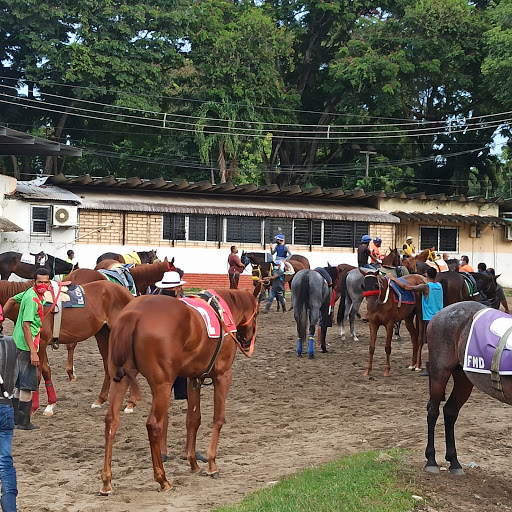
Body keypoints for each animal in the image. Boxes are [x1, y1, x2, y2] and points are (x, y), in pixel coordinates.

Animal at [3, 280, 135, 416]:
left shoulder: (42, 343)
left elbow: (37, 375)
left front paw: (31, 410)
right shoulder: (39, 346)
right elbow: (46, 371)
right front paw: (50, 406)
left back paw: (130, 404)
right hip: (103, 334)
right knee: (108, 366)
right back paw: (100, 400)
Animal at [99, 286, 260, 494]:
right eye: (257, 313)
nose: (247, 341)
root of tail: (133, 314)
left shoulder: (193, 378)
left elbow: (193, 419)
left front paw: (193, 462)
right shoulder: (223, 375)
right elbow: (218, 418)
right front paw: (211, 463)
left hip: (120, 380)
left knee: (112, 421)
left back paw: (106, 481)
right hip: (162, 386)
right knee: (153, 424)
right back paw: (162, 479)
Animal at [424, 302, 512, 474]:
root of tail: (441, 312)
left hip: (463, 378)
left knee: (450, 411)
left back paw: (454, 461)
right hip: (440, 372)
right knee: (433, 410)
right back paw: (431, 460)